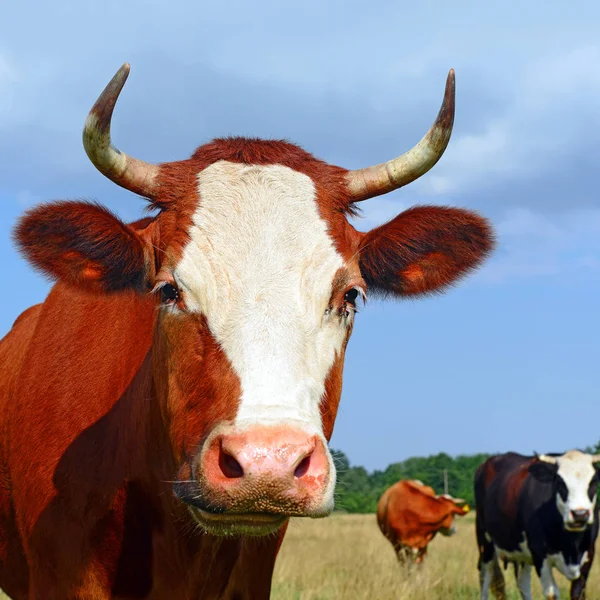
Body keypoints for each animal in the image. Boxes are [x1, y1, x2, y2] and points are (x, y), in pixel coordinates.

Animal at [474, 450, 600, 600]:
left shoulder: (589, 554)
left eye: (594, 481)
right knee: (485, 578)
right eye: (559, 482)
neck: (571, 546)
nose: (580, 514)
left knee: (523, 582)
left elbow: (577, 592)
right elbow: (552, 594)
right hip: (485, 543)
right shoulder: (539, 554)